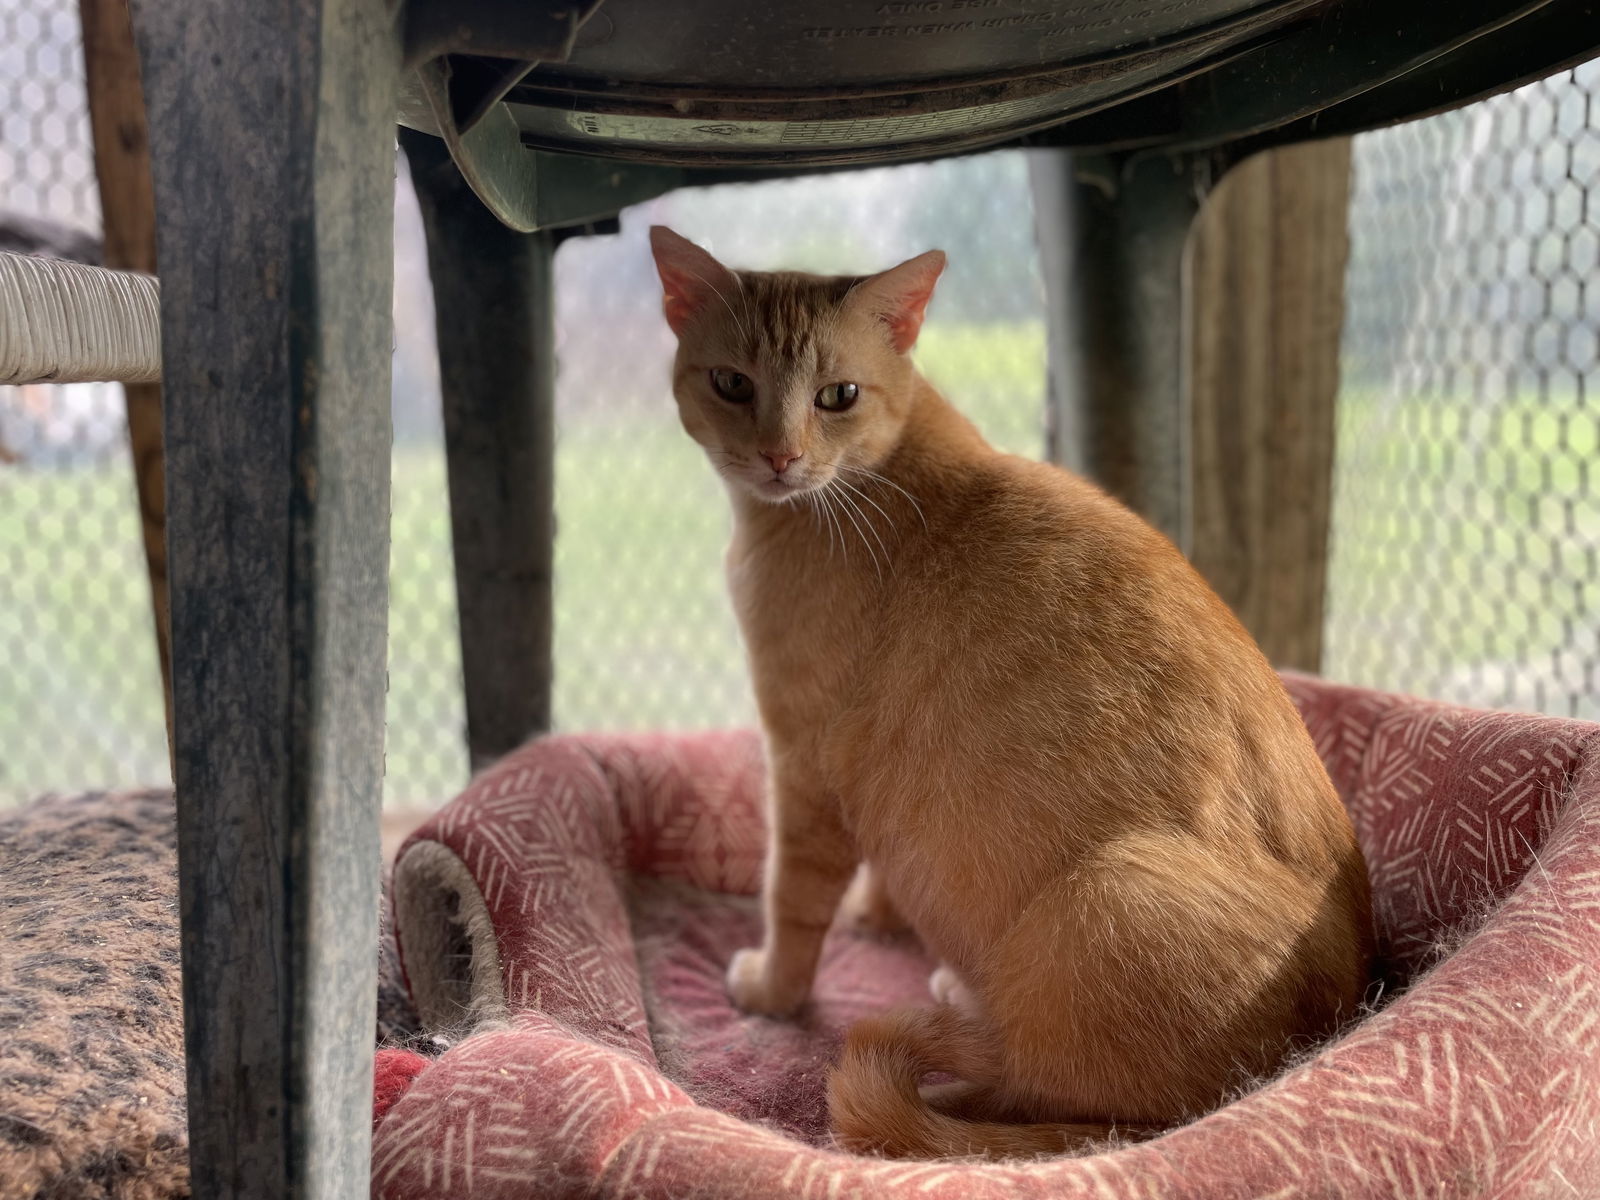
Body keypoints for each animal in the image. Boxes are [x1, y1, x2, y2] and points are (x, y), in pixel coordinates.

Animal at [643, 227, 1369, 1164]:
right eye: (733, 384)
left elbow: (792, 899)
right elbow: (878, 859)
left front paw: (771, 987)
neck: (866, 478)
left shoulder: (802, 763)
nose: (779, 455)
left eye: (837, 396)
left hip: (1105, 900)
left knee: (1013, 1094)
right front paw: (877, 914)